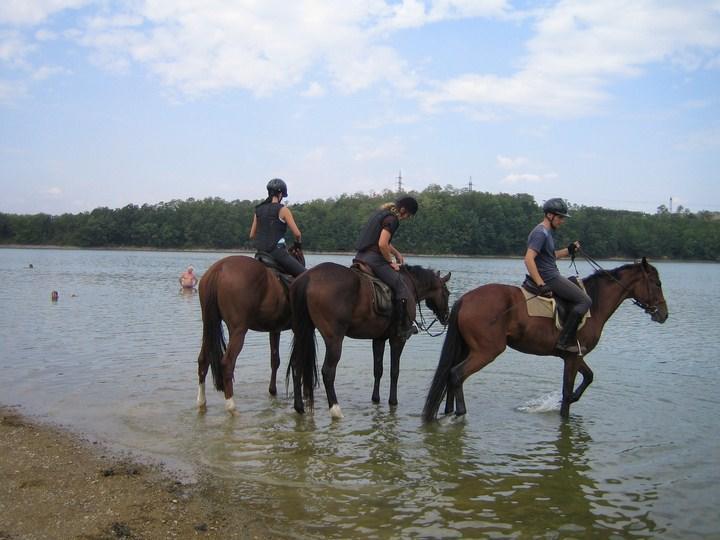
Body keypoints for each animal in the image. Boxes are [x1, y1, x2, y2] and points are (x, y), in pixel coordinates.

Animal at [195, 251, 302, 416]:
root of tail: (219, 269)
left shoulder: (274, 329)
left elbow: (275, 360)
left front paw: (272, 391)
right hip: (238, 331)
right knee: (227, 363)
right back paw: (231, 406)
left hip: (209, 326)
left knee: (203, 360)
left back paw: (201, 402)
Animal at [286, 262, 450, 418]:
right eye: (447, 293)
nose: (446, 317)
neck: (409, 283)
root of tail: (308, 277)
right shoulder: (397, 339)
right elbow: (394, 371)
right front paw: (393, 401)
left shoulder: (379, 339)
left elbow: (378, 370)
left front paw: (376, 398)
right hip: (334, 341)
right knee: (328, 372)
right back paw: (335, 409)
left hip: (301, 332)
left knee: (296, 365)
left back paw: (299, 406)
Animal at [422, 258, 668, 422]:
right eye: (657, 283)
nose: (664, 314)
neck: (595, 303)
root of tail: (465, 299)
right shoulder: (572, 358)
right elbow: (567, 391)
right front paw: (565, 411)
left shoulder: (574, 355)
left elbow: (588, 377)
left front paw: (572, 399)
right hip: (486, 351)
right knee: (456, 374)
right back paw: (460, 412)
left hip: (468, 349)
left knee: (450, 374)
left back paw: (449, 410)